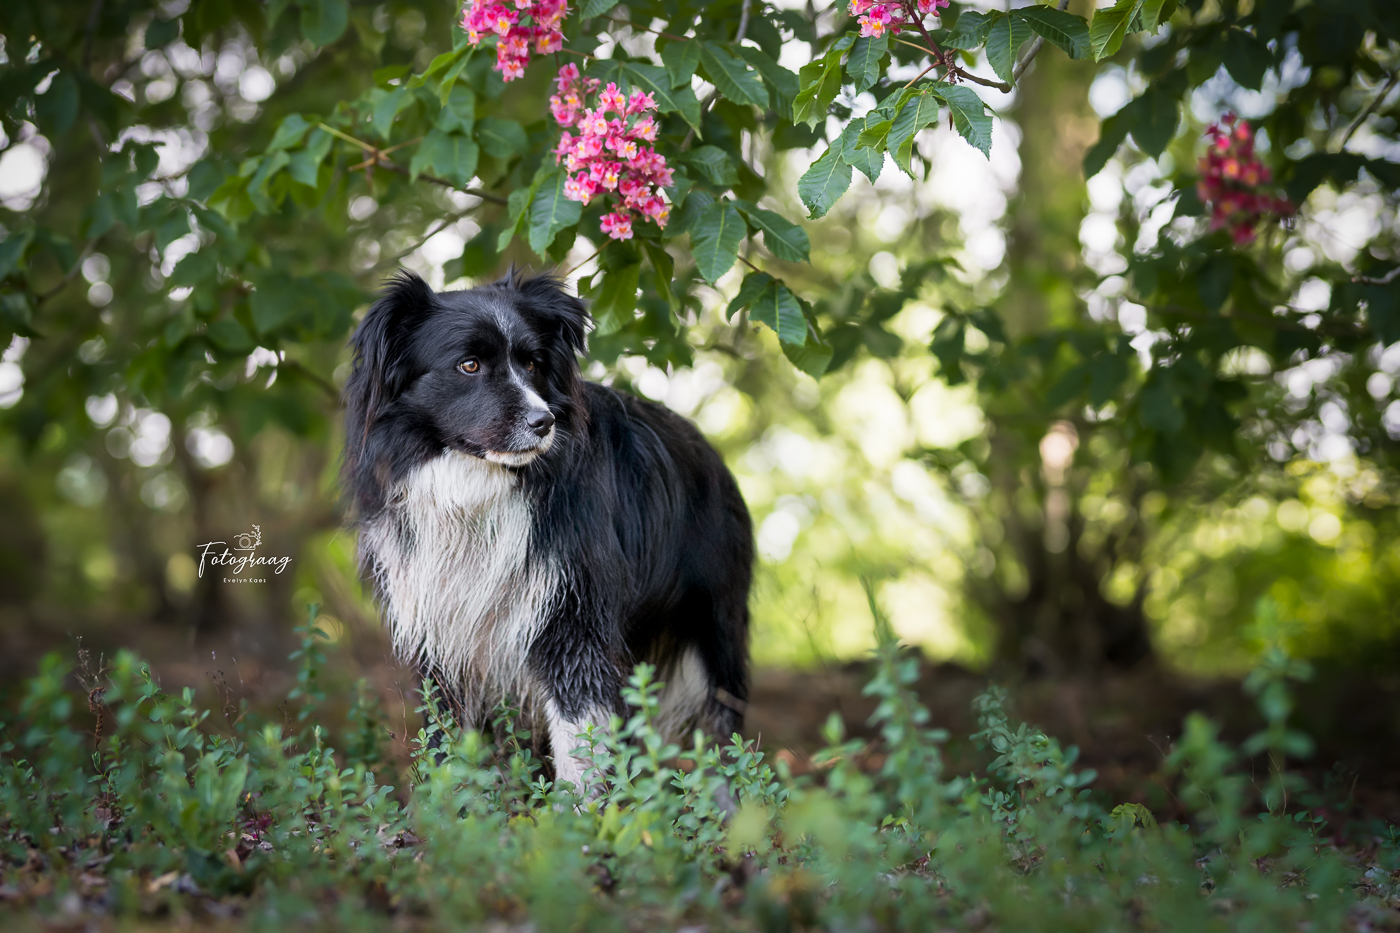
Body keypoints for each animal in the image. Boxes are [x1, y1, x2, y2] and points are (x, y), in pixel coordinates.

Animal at [342, 270, 752, 789]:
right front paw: (451, 801)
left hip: (715, 617)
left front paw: (581, 810)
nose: (545, 422)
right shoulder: (439, 624)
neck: (478, 488)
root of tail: (714, 456)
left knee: (723, 716)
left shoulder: (573, 610)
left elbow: (580, 735)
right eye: (469, 365)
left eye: (533, 362)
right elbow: (446, 732)